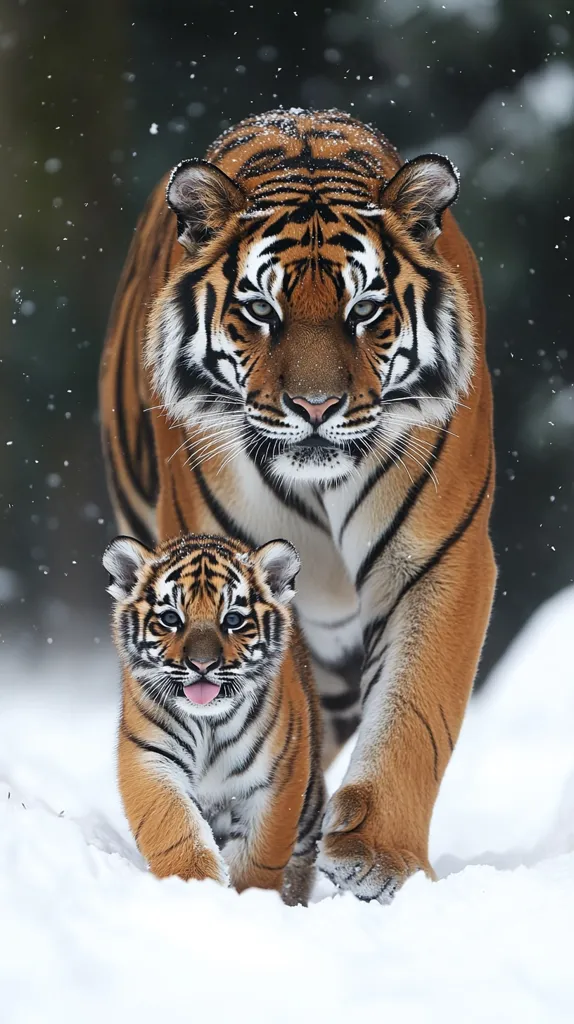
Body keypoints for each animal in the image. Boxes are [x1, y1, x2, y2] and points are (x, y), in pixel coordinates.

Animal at [103, 531, 325, 906]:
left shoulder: (276, 779)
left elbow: (258, 856)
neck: (208, 723)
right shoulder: (151, 758)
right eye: (171, 618)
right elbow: (177, 830)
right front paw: (198, 890)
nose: (202, 664)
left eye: (233, 620)